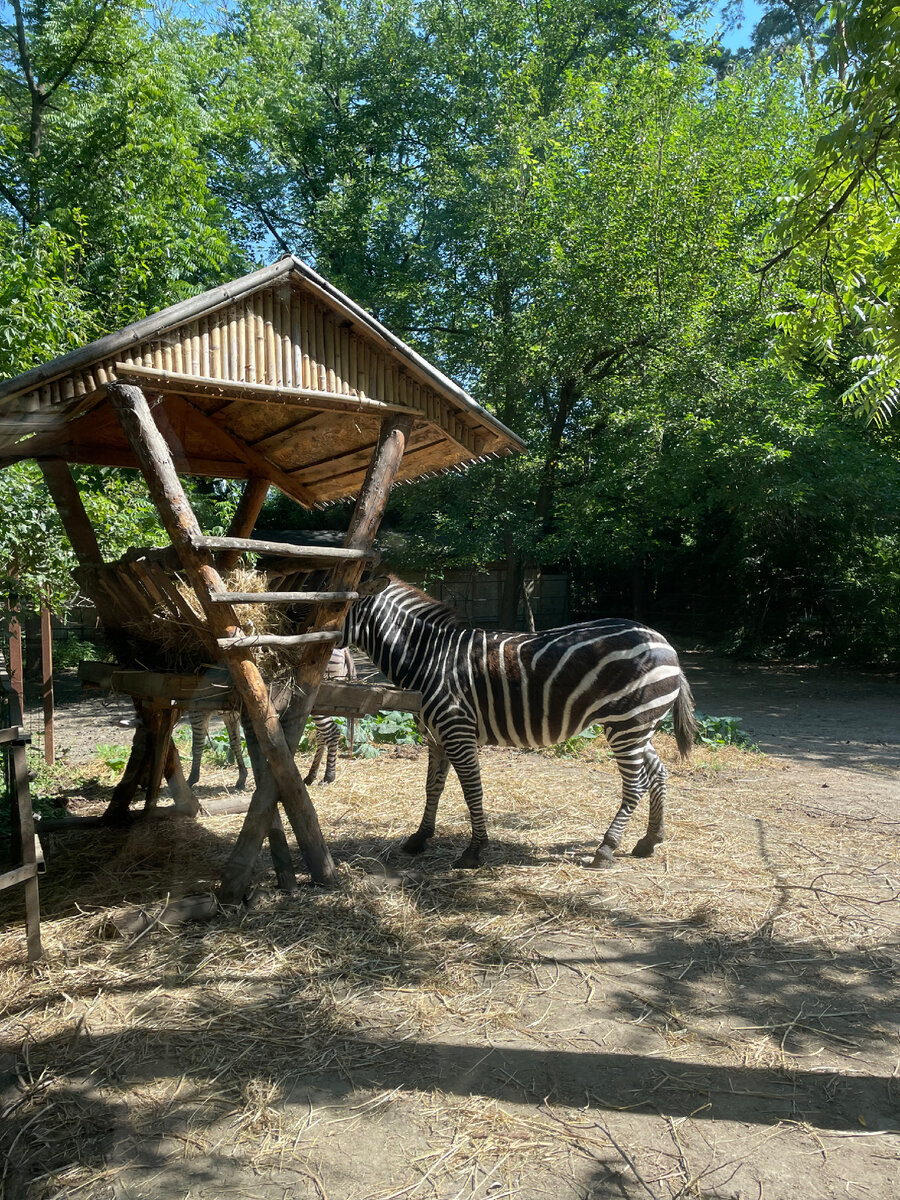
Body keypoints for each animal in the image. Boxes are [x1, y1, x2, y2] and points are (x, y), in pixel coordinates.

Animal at [345, 576, 696, 868]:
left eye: (338, 605)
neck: (428, 658)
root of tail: (663, 642)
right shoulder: (436, 736)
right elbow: (433, 787)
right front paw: (420, 838)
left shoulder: (457, 730)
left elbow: (472, 790)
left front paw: (474, 850)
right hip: (638, 726)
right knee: (658, 773)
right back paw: (650, 840)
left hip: (627, 723)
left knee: (636, 784)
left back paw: (606, 849)